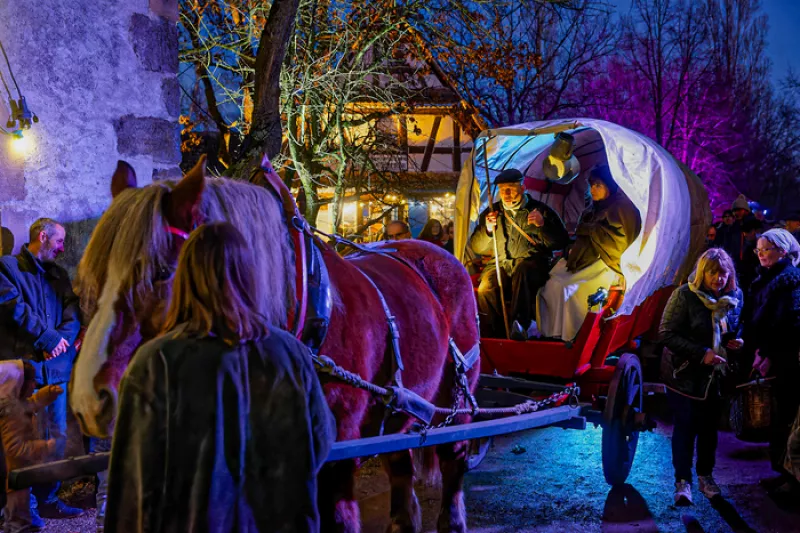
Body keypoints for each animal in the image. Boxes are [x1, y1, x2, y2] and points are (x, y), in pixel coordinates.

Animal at [69, 156, 478, 528]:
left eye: (162, 272)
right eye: (90, 277)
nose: (89, 402)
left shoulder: (338, 458)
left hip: (457, 404)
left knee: (453, 468)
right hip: (400, 413)